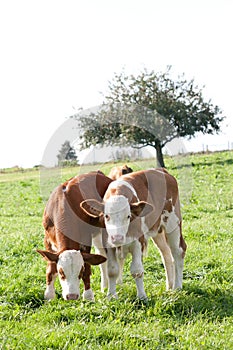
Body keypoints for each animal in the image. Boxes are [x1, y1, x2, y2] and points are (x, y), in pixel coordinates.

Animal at [37, 170, 112, 300]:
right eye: (61, 272)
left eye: (80, 272)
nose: (71, 296)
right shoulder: (47, 240)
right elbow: (50, 268)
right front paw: (49, 295)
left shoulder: (85, 240)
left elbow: (88, 267)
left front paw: (88, 295)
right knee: (101, 255)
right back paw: (104, 287)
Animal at [81, 168, 187, 300]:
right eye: (106, 216)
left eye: (128, 216)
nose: (117, 238)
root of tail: (161, 170)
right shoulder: (108, 244)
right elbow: (112, 271)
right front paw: (111, 295)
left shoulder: (138, 242)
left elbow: (137, 270)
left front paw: (142, 296)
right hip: (158, 231)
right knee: (166, 254)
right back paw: (170, 286)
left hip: (173, 224)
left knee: (178, 251)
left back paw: (177, 287)